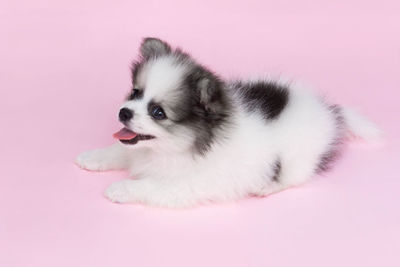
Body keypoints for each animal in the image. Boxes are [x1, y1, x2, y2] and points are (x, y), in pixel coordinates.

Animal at [76, 37, 382, 209]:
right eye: (135, 92)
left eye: (158, 112)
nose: (124, 112)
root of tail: (331, 111)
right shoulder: (137, 148)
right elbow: (120, 150)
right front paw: (92, 157)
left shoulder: (187, 184)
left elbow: (149, 185)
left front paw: (120, 188)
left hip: (296, 159)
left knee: (293, 177)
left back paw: (266, 187)